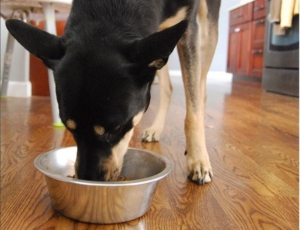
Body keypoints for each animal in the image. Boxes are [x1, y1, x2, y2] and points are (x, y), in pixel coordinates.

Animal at [5, 0, 220, 183]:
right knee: (168, 86)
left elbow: (192, 108)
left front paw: (198, 160)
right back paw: (156, 128)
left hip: (206, 27)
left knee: (200, 87)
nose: (88, 179)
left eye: (115, 129)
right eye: (69, 127)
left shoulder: (188, 30)